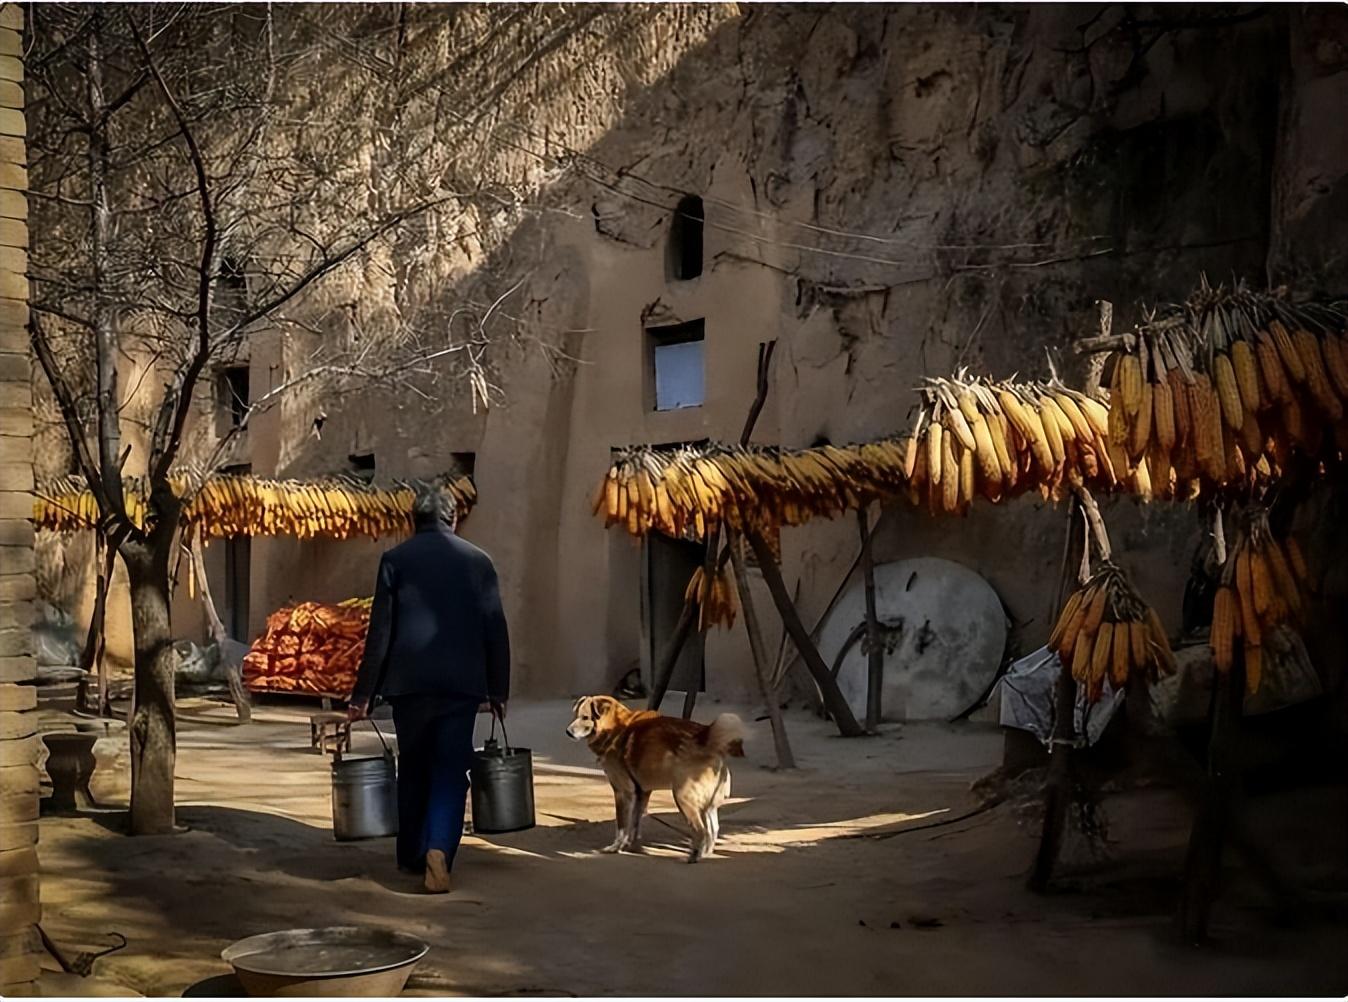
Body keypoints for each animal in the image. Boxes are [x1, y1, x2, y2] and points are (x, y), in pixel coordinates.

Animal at [563, 695, 744, 863]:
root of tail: (706, 739)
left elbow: (621, 825)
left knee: (700, 830)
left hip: (683, 797)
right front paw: (630, 845)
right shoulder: (642, 792)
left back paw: (693, 857)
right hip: (707, 804)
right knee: (713, 829)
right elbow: (634, 823)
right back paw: (705, 854)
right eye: (576, 715)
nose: (568, 732)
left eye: (585, 717)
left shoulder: (623, 792)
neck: (613, 729)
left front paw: (615, 847)